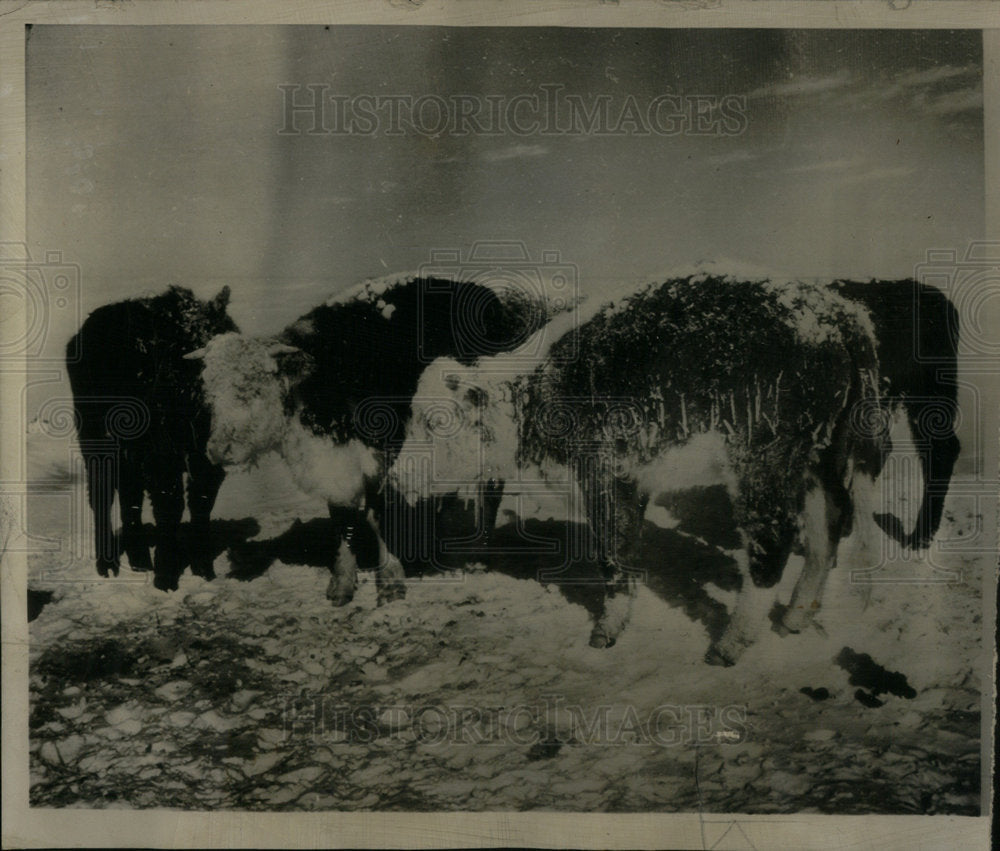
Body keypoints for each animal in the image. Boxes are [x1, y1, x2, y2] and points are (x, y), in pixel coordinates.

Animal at [66, 286, 238, 592]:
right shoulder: (162, 457)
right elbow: (170, 506)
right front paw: (166, 577)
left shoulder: (206, 461)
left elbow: (201, 503)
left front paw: (203, 570)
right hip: (96, 441)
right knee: (102, 496)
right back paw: (107, 565)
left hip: (129, 453)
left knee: (129, 496)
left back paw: (140, 561)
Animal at [186, 274, 564, 604]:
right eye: (210, 393)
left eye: (251, 388)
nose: (217, 450)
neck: (323, 380)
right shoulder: (336, 466)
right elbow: (343, 522)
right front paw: (341, 584)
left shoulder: (381, 460)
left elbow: (378, 517)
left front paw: (391, 583)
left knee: (490, 491)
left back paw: (478, 556)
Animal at [386, 274, 888, 664]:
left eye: (436, 421)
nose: (394, 479)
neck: (540, 389)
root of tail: (839, 313)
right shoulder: (634, 480)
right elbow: (627, 551)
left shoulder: (603, 473)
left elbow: (613, 554)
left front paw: (604, 633)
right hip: (820, 457)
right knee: (828, 525)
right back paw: (795, 618)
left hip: (763, 462)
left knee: (772, 542)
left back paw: (731, 645)